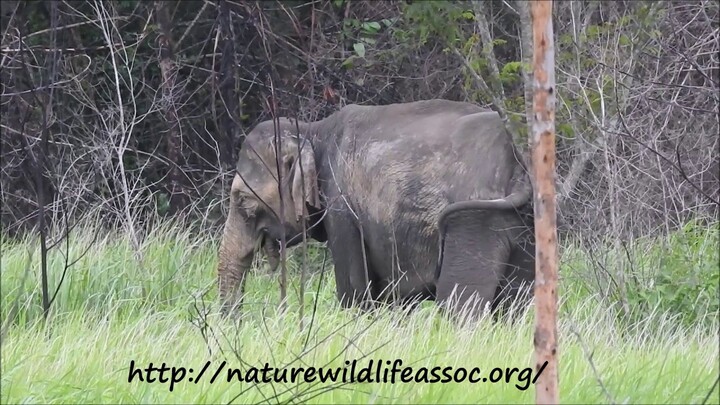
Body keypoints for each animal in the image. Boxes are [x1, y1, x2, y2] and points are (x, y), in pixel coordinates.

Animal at [216, 99, 536, 318]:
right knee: (516, 305)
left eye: (242, 200)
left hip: (474, 220)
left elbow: (354, 290)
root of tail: (517, 165)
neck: (312, 130)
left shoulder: (341, 205)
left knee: (461, 305)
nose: (238, 322)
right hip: (525, 224)